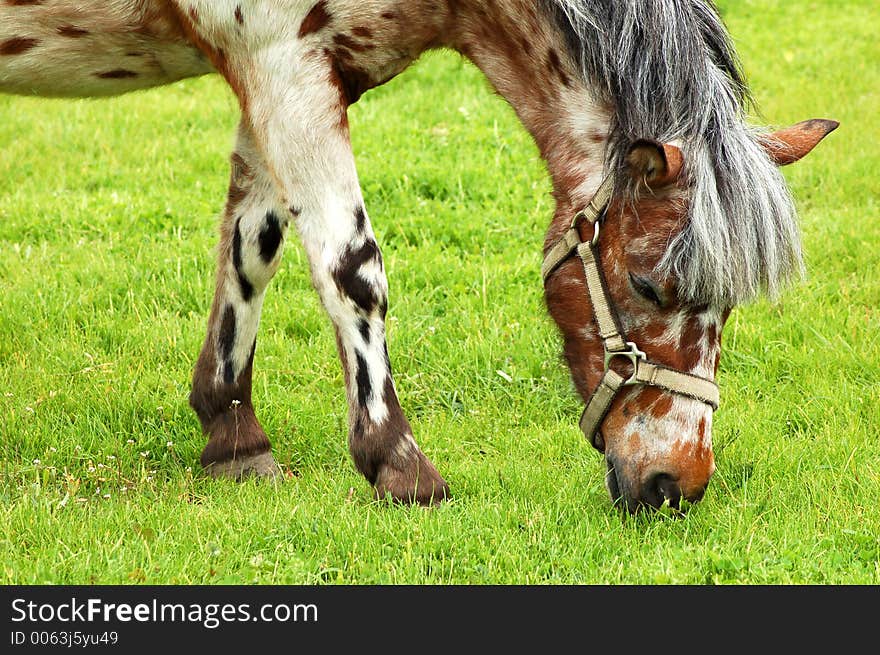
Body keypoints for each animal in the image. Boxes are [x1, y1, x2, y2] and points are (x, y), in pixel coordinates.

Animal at [1, 1, 840, 512]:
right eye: (646, 282)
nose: (676, 483)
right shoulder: (282, 68)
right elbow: (354, 269)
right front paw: (398, 464)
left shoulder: (292, 83)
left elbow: (253, 244)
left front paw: (234, 431)